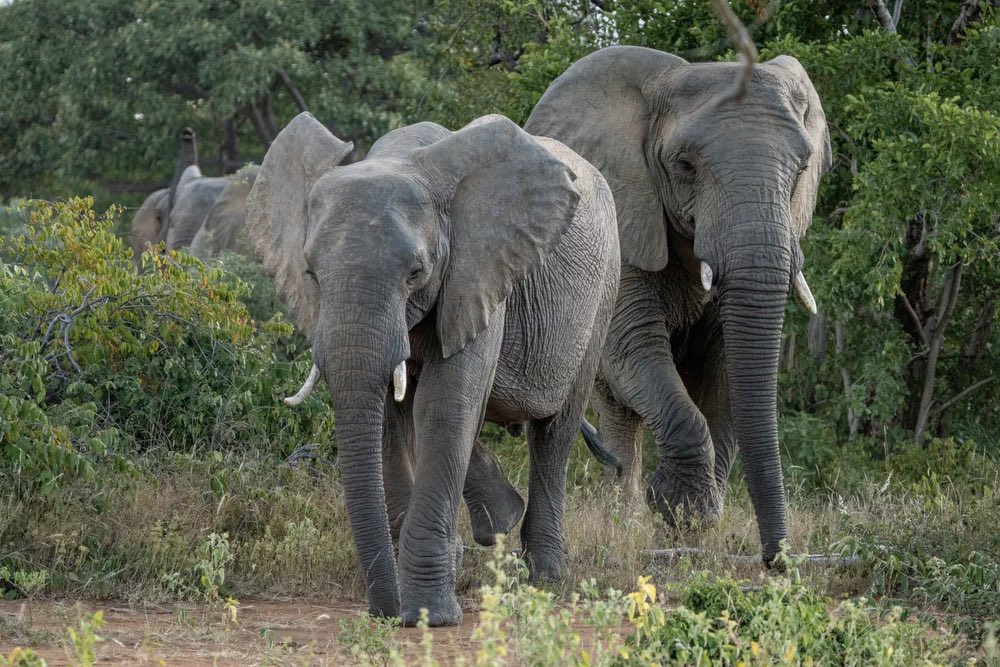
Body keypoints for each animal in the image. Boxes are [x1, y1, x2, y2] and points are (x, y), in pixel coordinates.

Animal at [247, 111, 620, 628]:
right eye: (311, 274)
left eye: (416, 273)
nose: (385, 612)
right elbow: (392, 415)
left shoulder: (477, 272)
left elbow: (446, 406)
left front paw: (429, 615)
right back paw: (500, 523)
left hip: (604, 293)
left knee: (554, 433)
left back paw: (546, 576)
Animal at [528, 47, 832, 568]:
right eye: (684, 165)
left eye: (801, 167)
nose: (776, 560)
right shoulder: (627, 220)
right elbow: (633, 346)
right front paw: (682, 512)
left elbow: (728, 368)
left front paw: (698, 523)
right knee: (620, 414)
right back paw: (623, 524)